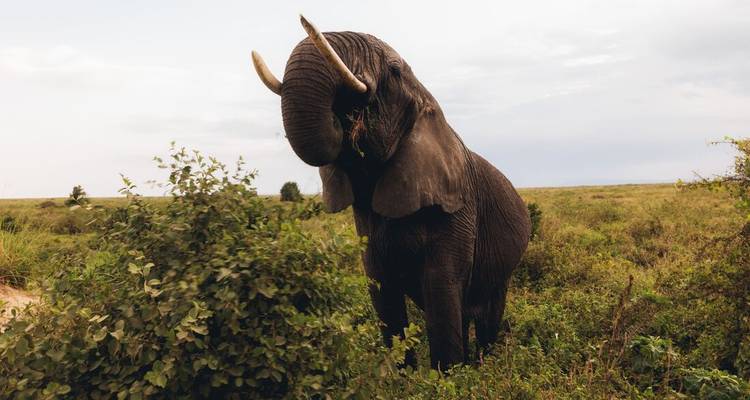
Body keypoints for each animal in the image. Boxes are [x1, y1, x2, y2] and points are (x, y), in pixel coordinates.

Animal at [252, 16, 530, 370]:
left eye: (394, 71)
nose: (347, 116)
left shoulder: (458, 209)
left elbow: (441, 287)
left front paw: (448, 376)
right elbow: (381, 287)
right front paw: (403, 375)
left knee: (486, 314)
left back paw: (483, 366)